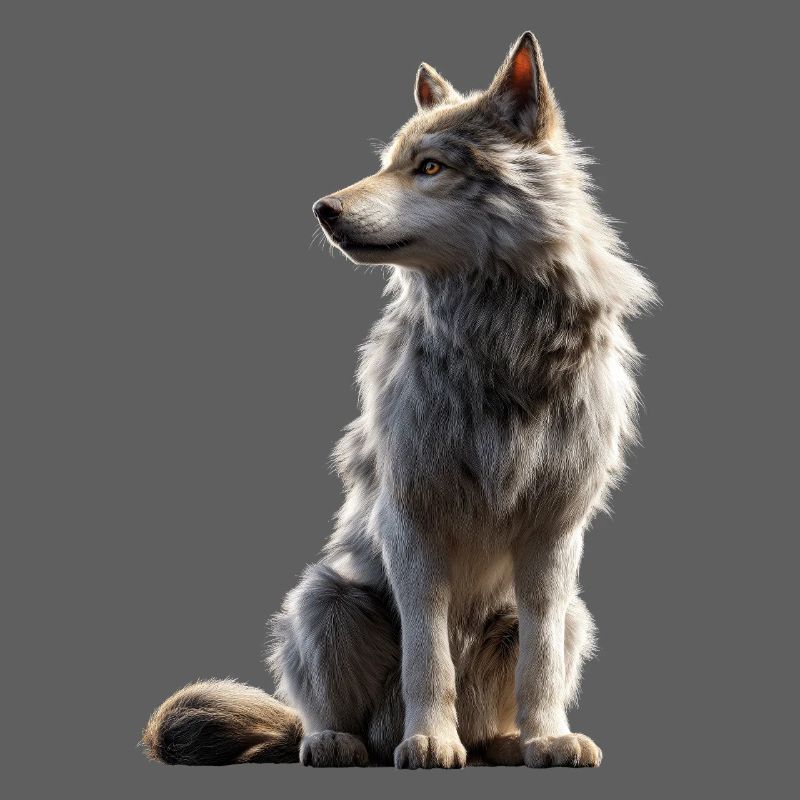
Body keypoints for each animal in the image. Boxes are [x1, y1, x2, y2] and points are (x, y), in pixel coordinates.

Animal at [142, 31, 655, 769]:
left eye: (430, 167)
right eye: (387, 164)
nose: (323, 210)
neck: (500, 341)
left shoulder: (555, 534)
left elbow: (541, 665)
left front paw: (549, 739)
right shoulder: (411, 521)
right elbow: (427, 654)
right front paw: (430, 741)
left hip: (573, 615)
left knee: (518, 684)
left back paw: (504, 742)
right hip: (324, 599)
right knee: (325, 714)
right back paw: (342, 742)